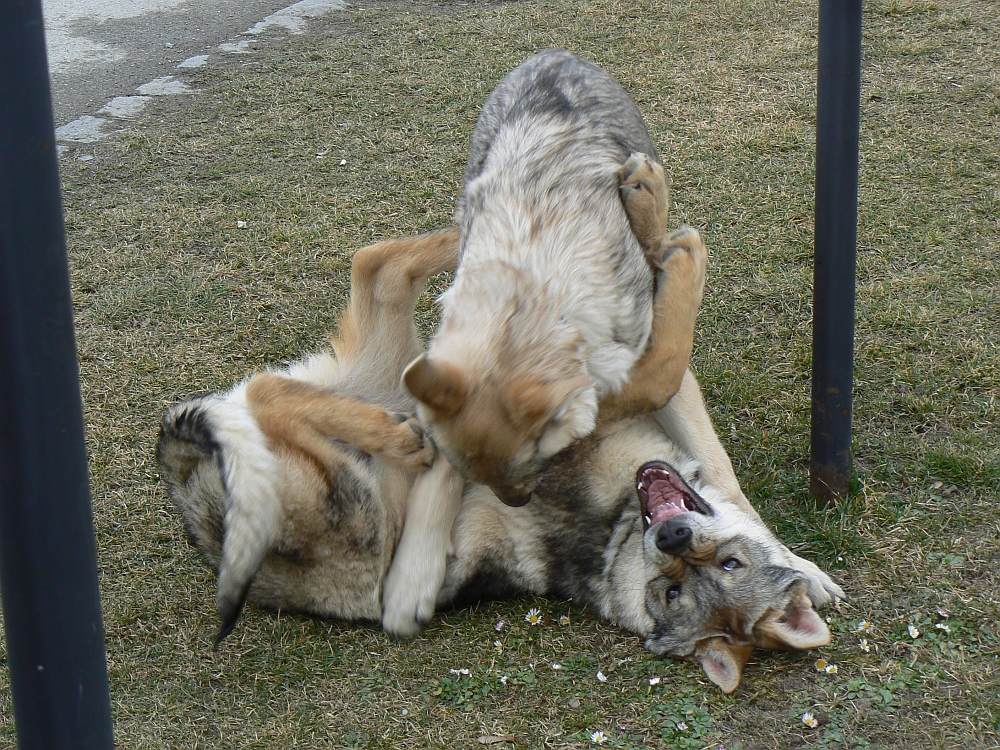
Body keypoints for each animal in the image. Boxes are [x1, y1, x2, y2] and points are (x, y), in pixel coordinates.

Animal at [156, 225, 844, 700]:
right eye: (723, 565)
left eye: (677, 590)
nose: (670, 535)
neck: (619, 529)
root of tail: (191, 500)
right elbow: (710, 445)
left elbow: (679, 394)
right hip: (360, 435)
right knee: (297, 359)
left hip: (345, 472)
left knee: (315, 339)